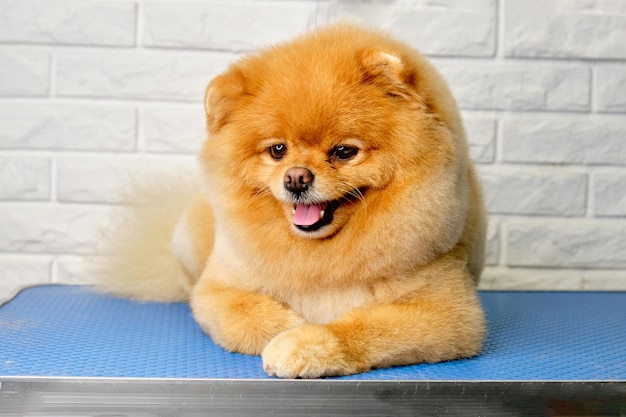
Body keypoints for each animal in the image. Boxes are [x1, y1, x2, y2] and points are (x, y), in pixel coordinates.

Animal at [98, 24, 488, 378]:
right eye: (277, 150)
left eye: (344, 151)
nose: (296, 177)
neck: (318, 253)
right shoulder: (218, 289)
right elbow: (243, 313)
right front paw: (289, 326)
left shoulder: (449, 312)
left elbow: (364, 326)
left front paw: (302, 343)